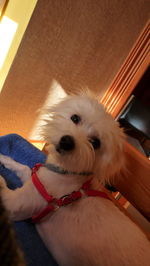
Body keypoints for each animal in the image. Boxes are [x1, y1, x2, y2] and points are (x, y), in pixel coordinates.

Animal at [0, 93, 150, 264]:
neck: (65, 173)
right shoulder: (37, 181)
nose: (67, 141)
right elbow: (24, 167)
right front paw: (4, 159)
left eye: (95, 143)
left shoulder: (15, 204)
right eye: (75, 118)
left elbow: (2, 183)